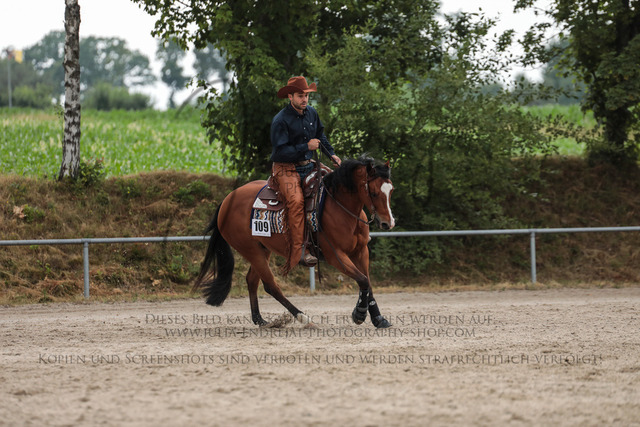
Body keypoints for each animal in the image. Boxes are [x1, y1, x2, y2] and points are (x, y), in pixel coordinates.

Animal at [194, 155, 396, 328]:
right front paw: (359, 314)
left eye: (391, 190)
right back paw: (304, 318)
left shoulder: (361, 251)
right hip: (250, 250)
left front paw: (378, 318)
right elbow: (362, 279)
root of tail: (227, 200)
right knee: (271, 286)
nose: (388, 222)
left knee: (252, 280)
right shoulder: (335, 255)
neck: (340, 207)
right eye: (374, 192)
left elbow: (368, 282)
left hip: (262, 248)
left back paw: (260, 320)